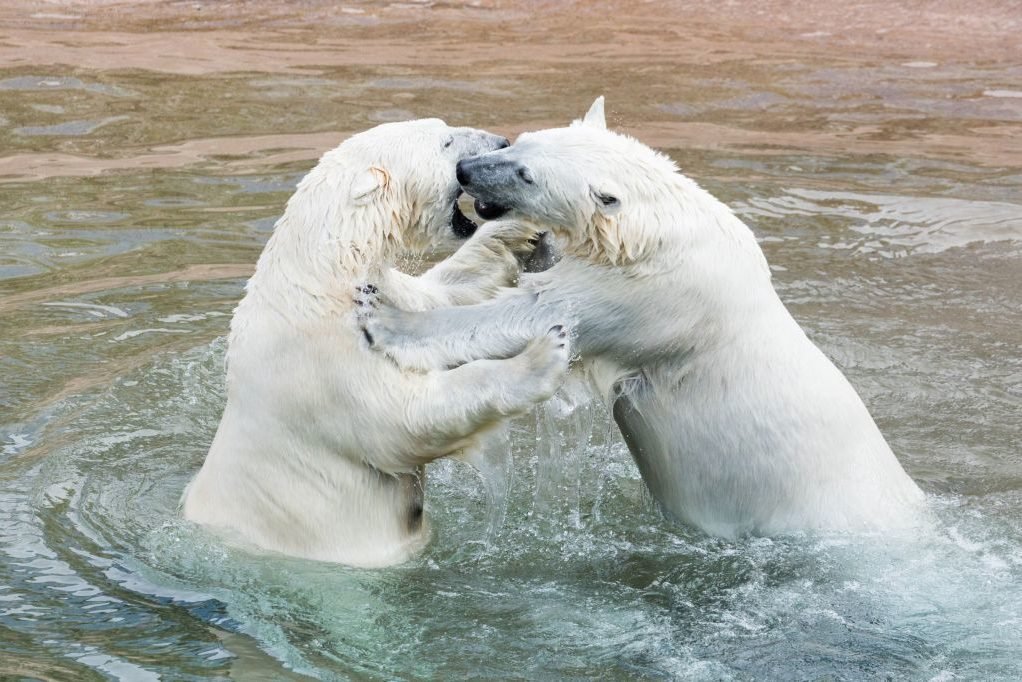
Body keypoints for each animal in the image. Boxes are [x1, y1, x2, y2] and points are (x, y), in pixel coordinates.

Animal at [182, 118, 570, 567]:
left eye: (443, 126)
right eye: (446, 141)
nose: (502, 140)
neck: (321, 278)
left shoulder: (383, 293)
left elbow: (443, 299)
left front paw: (516, 229)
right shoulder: (325, 364)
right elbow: (405, 417)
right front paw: (543, 355)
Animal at [360, 99, 926, 538]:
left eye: (527, 174)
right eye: (518, 143)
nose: (466, 170)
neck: (652, 233)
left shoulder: (643, 295)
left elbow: (534, 311)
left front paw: (383, 314)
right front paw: (530, 243)